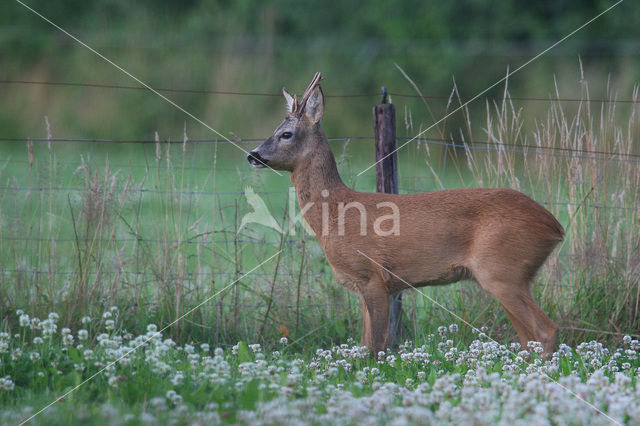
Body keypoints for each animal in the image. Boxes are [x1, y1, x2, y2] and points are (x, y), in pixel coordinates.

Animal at [248, 73, 564, 356]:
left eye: (286, 134)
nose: (252, 155)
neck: (336, 214)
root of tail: (555, 227)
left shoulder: (372, 275)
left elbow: (375, 347)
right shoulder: (370, 284)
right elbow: (365, 345)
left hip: (502, 269)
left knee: (545, 331)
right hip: (511, 274)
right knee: (528, 337)